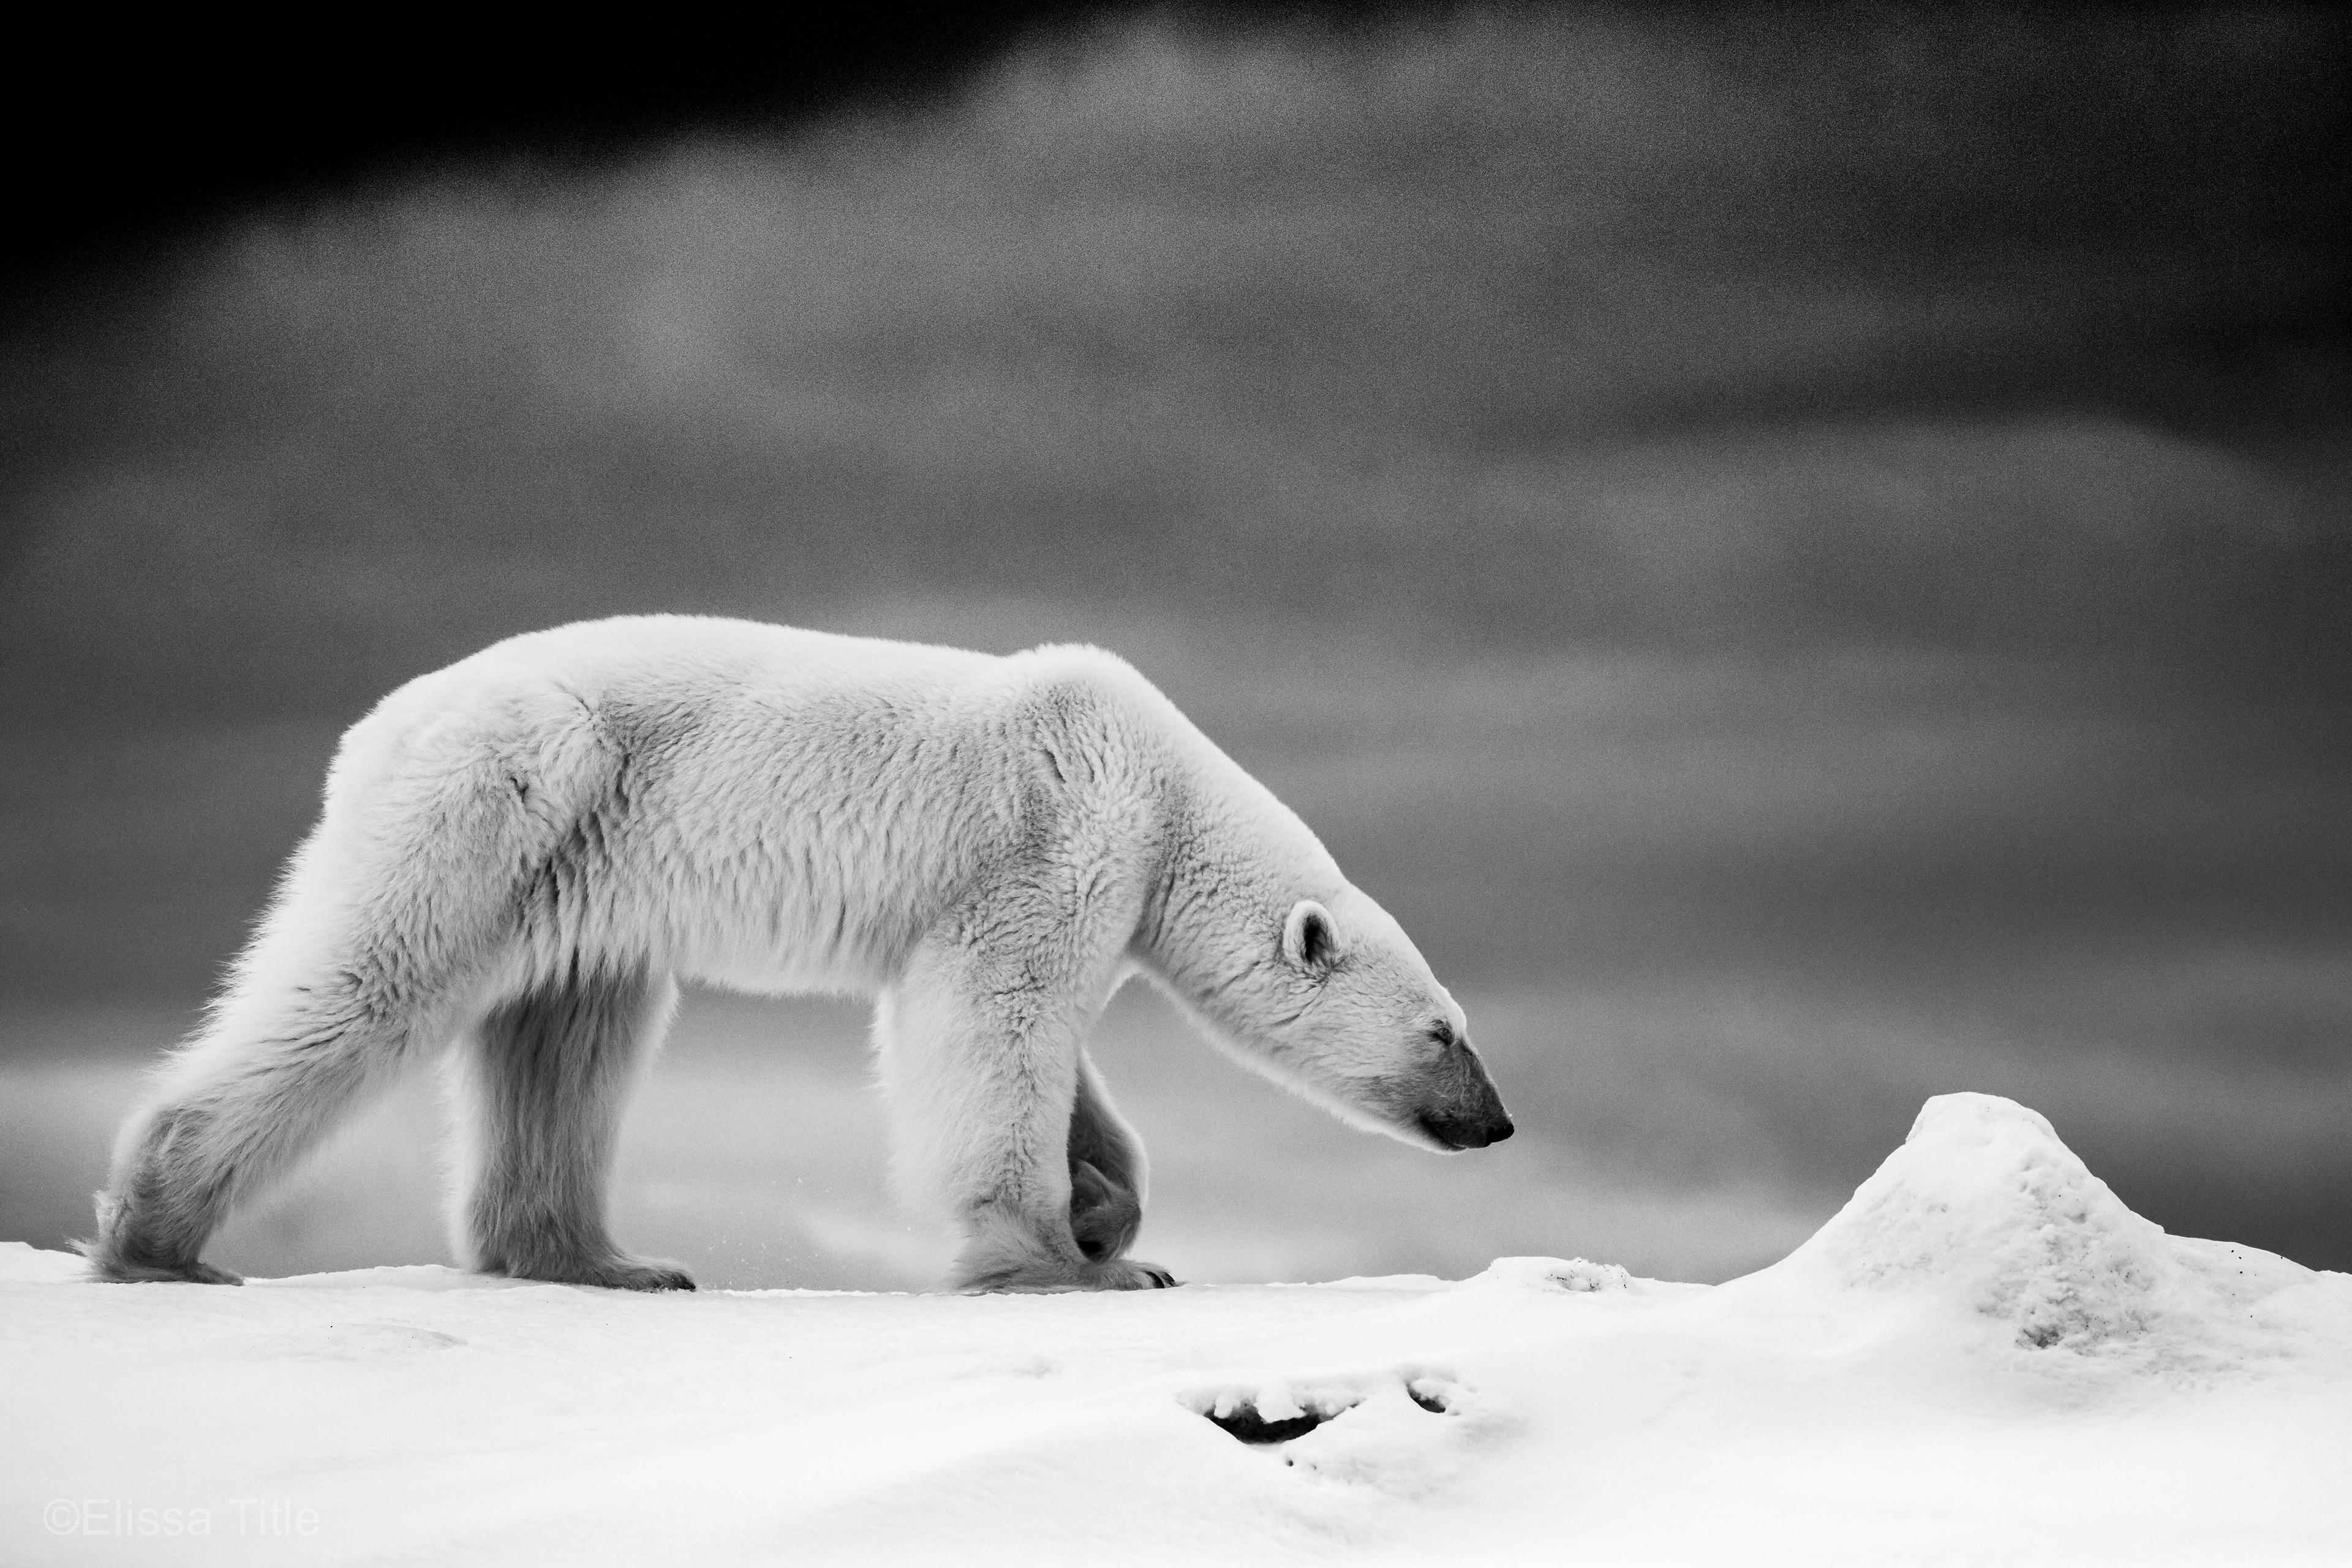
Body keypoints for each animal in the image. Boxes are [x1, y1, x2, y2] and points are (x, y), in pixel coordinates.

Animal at [83, 620, 1514, 1297]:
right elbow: (991, 1024)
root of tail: (378, 724)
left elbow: (1062, 1059)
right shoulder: (1045, 841)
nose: (1497, 1122)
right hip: (508, 795)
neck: (1164, 791)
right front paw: (1064, 1259)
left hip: (580, 873)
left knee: (565, 1036)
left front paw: (1114, 1214)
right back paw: (161, 1239)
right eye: (1444, 1030)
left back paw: (608, 1259)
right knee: (371, 978)